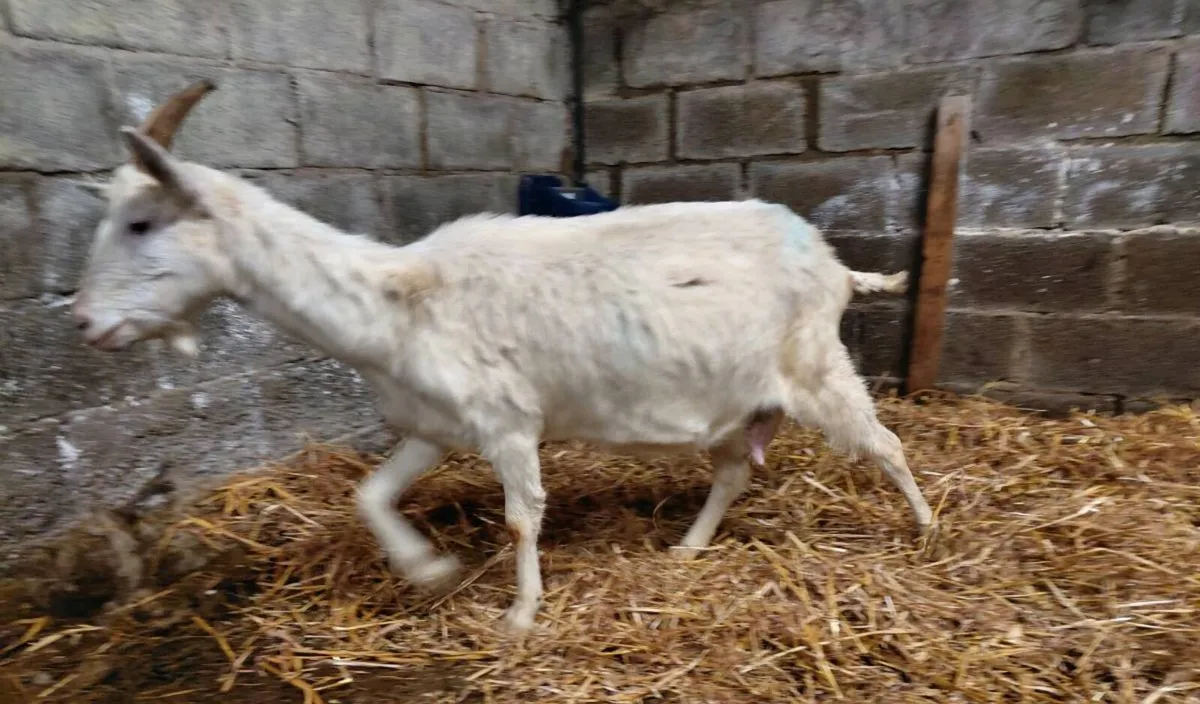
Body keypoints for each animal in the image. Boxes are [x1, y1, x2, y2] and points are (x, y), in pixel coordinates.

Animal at [71, 80, 933, 632]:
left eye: (142, 223)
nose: (84, 322)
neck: (397, 304)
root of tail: (836, 264)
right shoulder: (432, 424)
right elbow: (368, 495)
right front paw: (427, 571)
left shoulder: (509, 420)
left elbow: (522, 520)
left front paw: (519, 615)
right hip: (735, 400)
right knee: (731, 472)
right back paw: (688, 546)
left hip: (815, 365)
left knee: (886, 442)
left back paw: (926, 528)